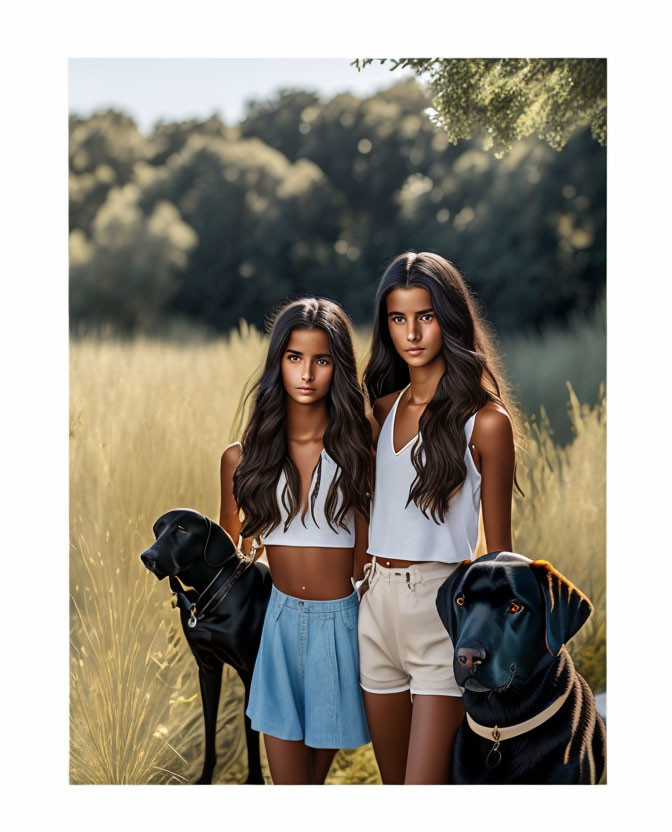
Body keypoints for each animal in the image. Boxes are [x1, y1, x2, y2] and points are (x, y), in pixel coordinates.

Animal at [140, 508, 272, 788]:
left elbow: (250, 729)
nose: (147, 557)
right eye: (159, 528)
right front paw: (205, 777)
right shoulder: (208, 668)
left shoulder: (250, 673)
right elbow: (209, 725)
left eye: (183, 529)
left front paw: (255, 779)